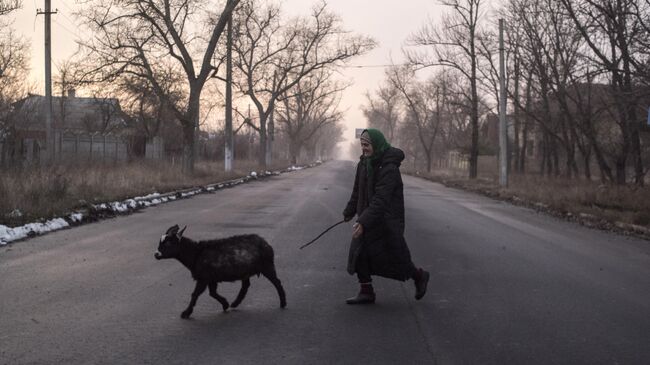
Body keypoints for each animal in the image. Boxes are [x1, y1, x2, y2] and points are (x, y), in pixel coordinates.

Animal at [154, 223, 286, 318]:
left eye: (168, 243)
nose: (156, 254)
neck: (196, 253)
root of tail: (266, 244)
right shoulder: (211, 278)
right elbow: (212, 293)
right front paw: (225, 304)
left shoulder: (204, 278)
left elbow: (195, 294)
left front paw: (186, 313)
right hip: (246, 271)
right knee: (246, 285)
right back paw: (234, 303)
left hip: (266, 265)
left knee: (277, 282)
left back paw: (283, 303)